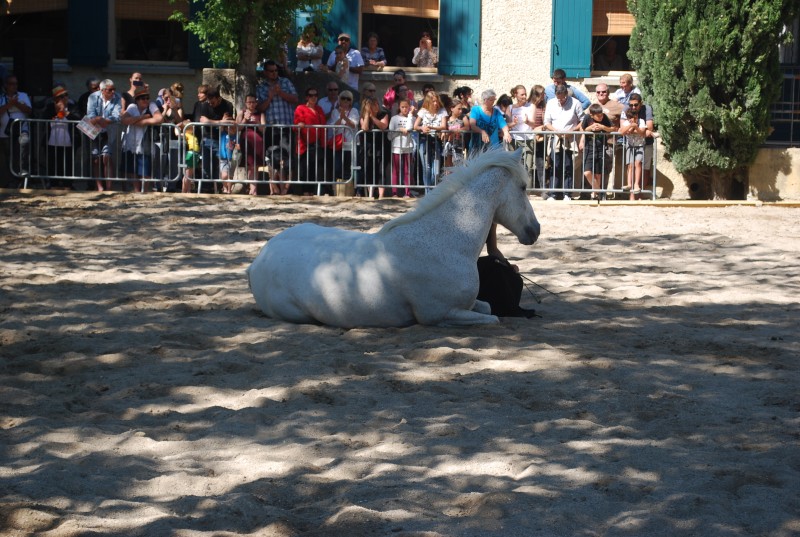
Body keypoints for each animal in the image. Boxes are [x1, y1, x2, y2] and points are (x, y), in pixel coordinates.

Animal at [247, 149, 540, 328]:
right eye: (523, 187)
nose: (535, 230)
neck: (448, 240)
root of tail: (258, 260)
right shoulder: (439, 314)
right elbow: (493, 318)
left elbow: (489, 308)